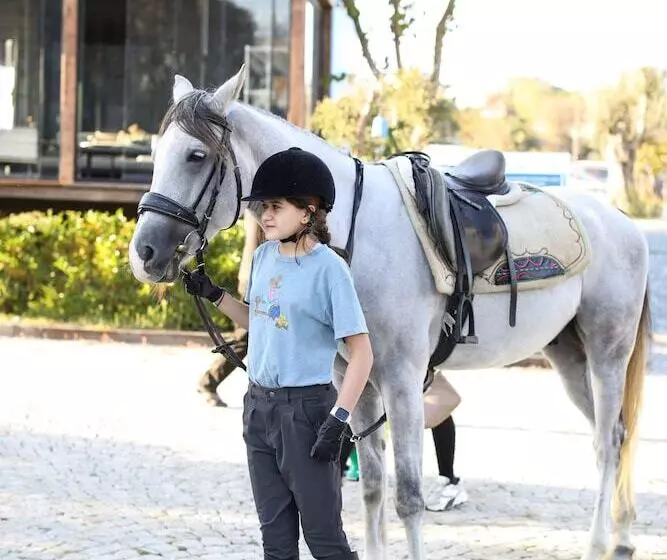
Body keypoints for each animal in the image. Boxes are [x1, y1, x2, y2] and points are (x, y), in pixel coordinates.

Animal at [129, 66, 650, 560]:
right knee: (616, 435)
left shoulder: (402, 380)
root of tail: (624, 222)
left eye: (196, 155)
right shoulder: (354, 383)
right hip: (568, 356)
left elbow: (409, 497)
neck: (349, 234)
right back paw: (623, 536)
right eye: (155, 154)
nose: (145, 253)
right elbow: (374, 489)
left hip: (607, 353)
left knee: (608, 442)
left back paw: (599, 544)